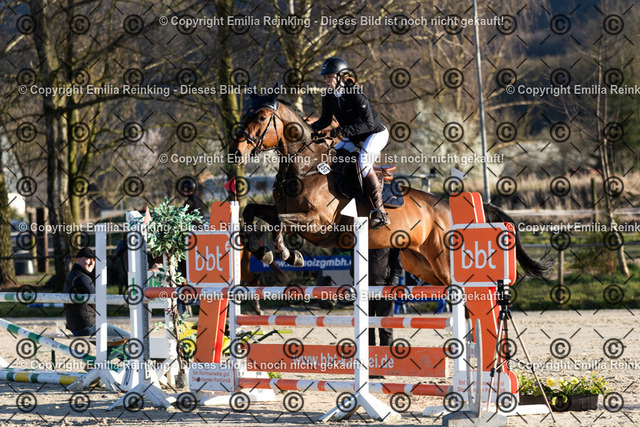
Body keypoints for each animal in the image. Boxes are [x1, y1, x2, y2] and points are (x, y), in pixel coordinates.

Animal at [229, 93, 547, 286]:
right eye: (245, 117)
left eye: (260, 118)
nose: (236, 152)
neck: (305, 166)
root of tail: (445, 206)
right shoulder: (284, 211)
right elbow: (252, 211)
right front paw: (262, 251)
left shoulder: (318, 224)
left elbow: (278, 222)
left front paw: (286, 254)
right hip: (421, 265)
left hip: (443, 263)